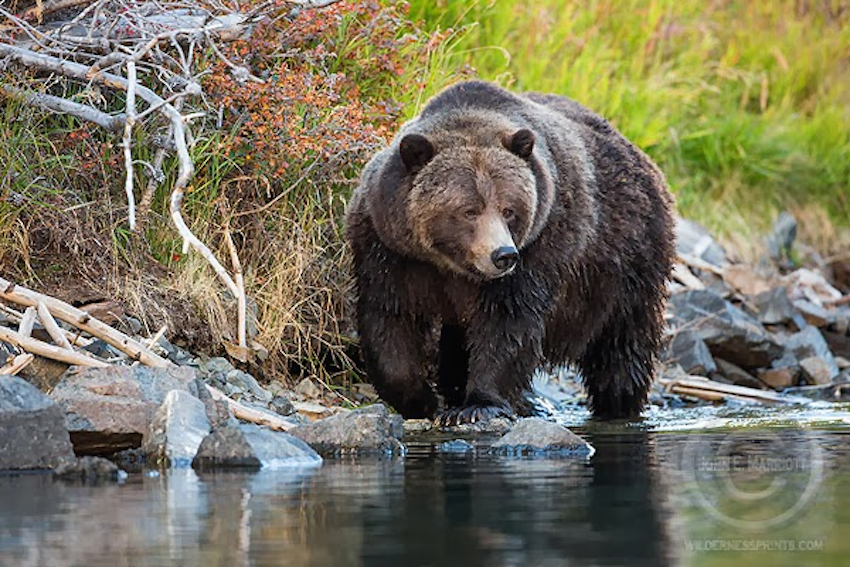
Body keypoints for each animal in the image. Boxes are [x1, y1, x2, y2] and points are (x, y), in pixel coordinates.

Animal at [346, 82, 676, 424]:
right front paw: (420, 399)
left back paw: (619, 404)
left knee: (623, 340)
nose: (503, 254)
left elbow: (509, 322)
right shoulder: (391, 250)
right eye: (469, 210)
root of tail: (641, 156)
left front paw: (478, 404)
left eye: (509, 209)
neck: (451, 265)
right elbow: (391, 317)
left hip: (627, 259)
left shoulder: (541, 245)